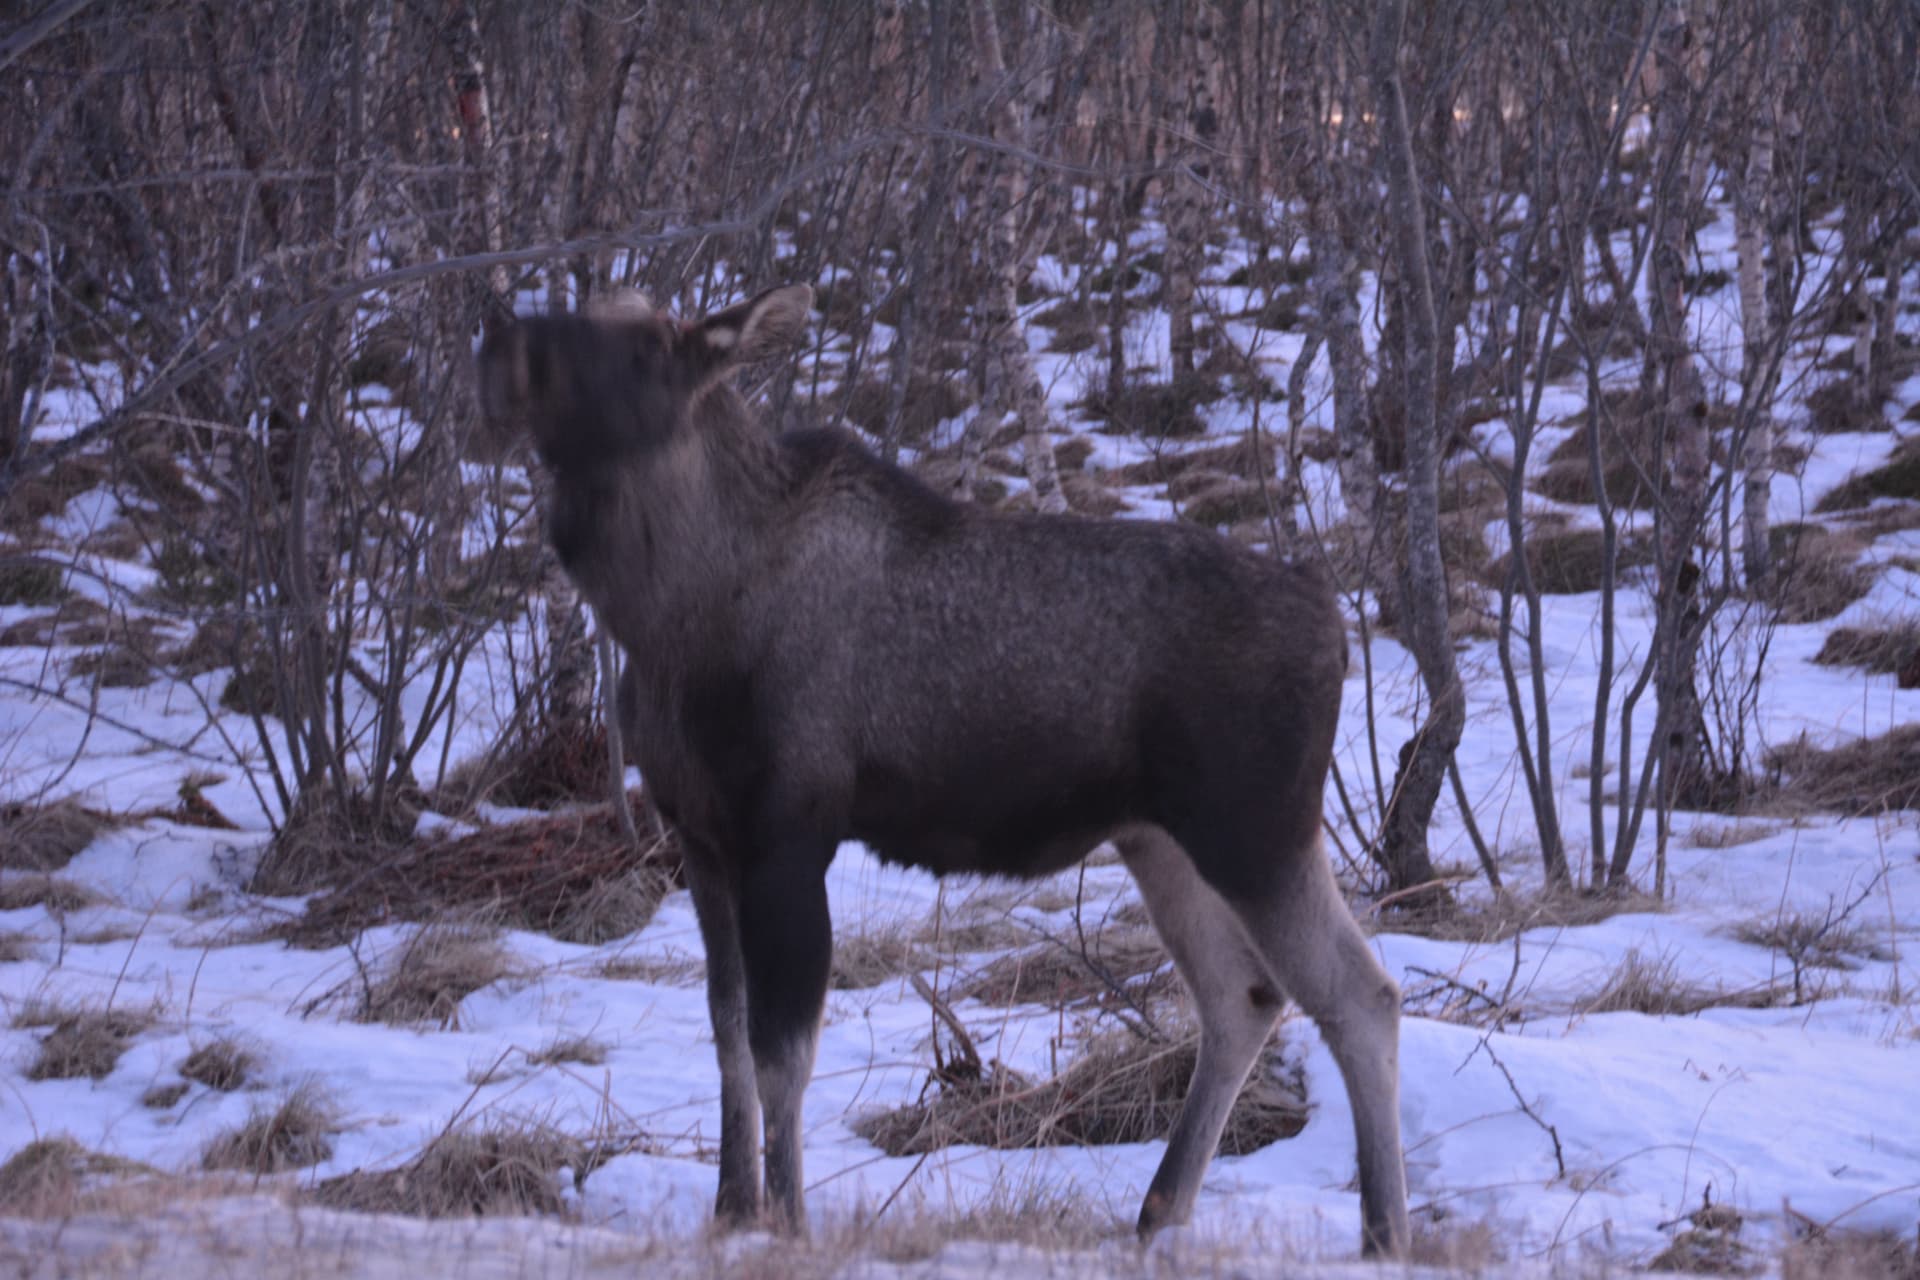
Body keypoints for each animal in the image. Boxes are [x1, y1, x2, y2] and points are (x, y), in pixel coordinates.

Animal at [476, 284, 1409, 1258]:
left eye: (646, 347)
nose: (500, 345)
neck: (667, 616)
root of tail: (1334, 623)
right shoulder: (700, 836)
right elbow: (728, 1035)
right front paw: (732, 1210)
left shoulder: (788, 833)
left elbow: (782, 1055)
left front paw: (790, 1224)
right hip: (1163, 840)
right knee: (1243, 998)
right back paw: (1158, 1213)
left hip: (1256, 830)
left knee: (1361, 995)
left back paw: (1382, 1232)